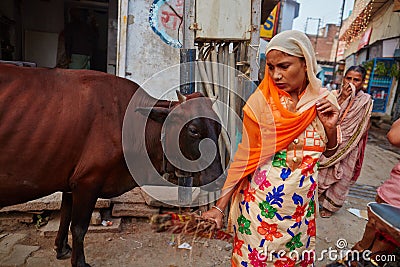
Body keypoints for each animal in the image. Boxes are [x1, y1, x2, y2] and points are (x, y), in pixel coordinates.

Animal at [0, 63, 223, 266]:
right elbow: (79, 227)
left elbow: (64, 217)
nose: (217, 178)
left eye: (219, 127)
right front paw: (79, 262)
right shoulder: (87, 181)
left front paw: (62, 249)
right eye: (193, 130)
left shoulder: (70, 182)